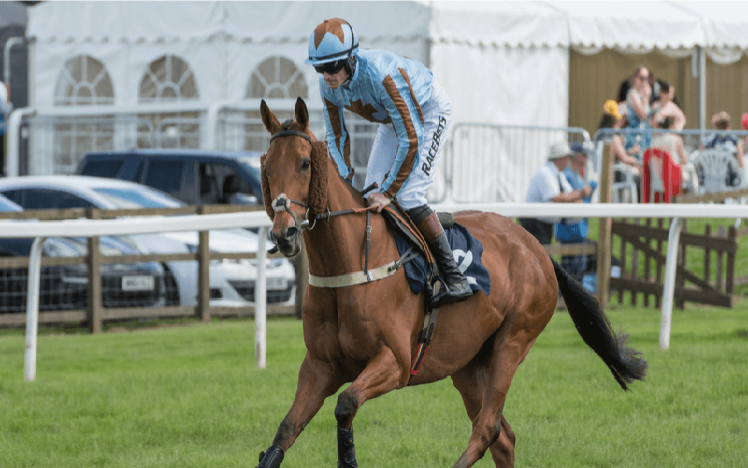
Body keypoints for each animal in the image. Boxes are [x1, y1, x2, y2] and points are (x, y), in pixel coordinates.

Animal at [254, 98, 644, 468]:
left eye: (305, 163)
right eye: (266, 167)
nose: (284, 234)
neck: (351, 266)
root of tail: (538, 249)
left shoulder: (395, 362)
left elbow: (346, 403)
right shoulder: (320, 365)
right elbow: (285, 430)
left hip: (512, 342)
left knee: (488, 429)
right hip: (468, 362)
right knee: (503, 437)